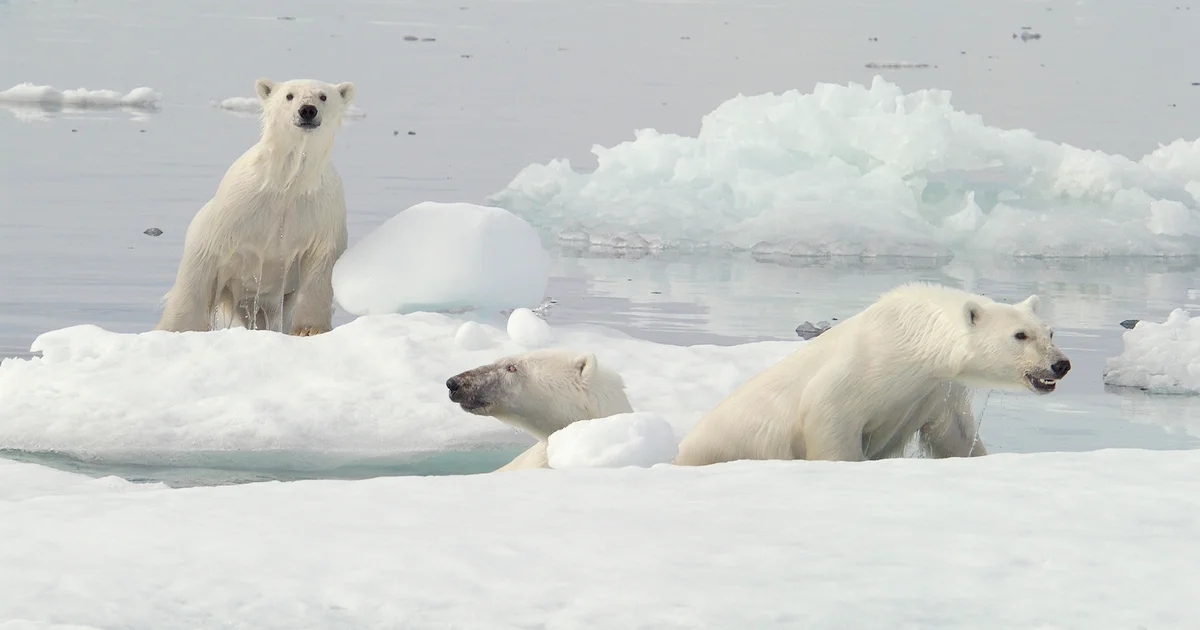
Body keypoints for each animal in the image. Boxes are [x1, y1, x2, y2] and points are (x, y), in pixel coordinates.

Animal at [155, 77, 356, 335]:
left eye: (323, 96)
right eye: (289, 95)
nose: (307, 110)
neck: (287, 183)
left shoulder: (321, 211)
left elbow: (322, 264)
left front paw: (310, 329)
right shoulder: (235, 209)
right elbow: (204, 259)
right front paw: (179, 328)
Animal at [673, 282, 1072, 466]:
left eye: (1049, 332)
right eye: (1020, 335)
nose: (1061, 365)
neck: (912, 338)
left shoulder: (935, 389)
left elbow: (954, 434)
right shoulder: (861, 369)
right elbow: (828, 416)